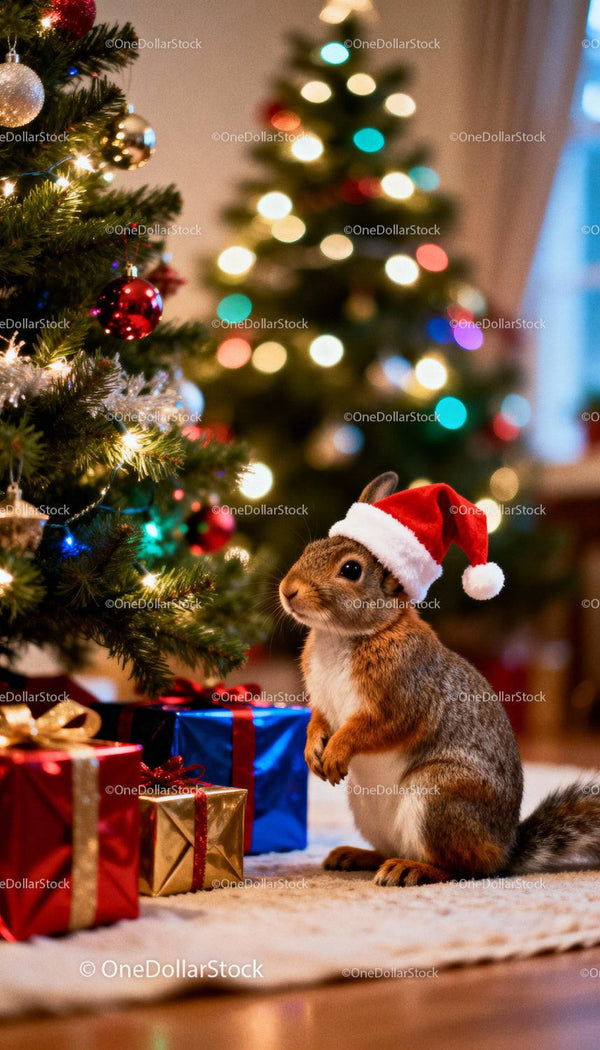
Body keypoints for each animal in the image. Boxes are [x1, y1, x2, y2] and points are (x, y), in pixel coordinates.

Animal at [279, 472, 600, 886]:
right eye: (310, 548)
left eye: (351, 570)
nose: (288, 590)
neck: (342, 636)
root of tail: (505, 851)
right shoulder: (322, 699)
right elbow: (318, 720)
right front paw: (312, 751)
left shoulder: (404, 697)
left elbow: (373, 728)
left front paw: (335, 752)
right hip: (371, 808)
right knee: (394, 849)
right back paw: (355, 855)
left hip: (439, 797)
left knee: (459, 868)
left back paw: (409, 869)